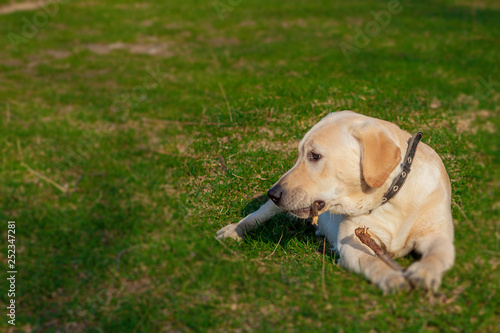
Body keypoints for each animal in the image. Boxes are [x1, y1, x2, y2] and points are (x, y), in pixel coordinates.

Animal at [217, 110, 456, 292]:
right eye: (299, 154)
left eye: (314, 156)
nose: (273, 193)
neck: (392, 197)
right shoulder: (353, 243)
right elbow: (372, 262)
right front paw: (391, 277)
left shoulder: (439, 235)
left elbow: (437, 255)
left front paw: (424, 272)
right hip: (270, 209)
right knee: (256, 215)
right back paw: (232, 231)